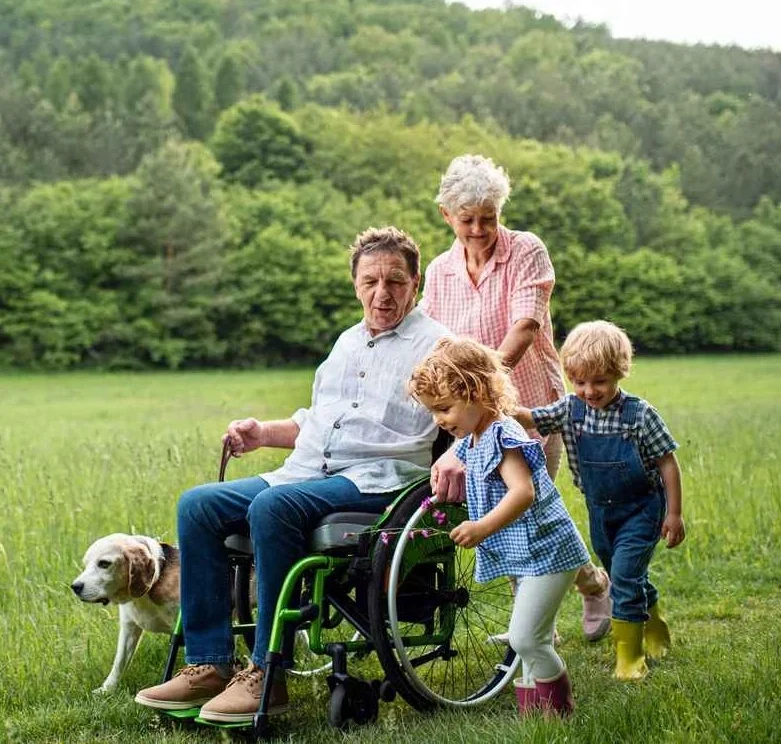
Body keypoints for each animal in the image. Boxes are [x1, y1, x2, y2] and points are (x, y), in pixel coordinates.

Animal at [71, 536, 179, 692]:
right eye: (85, 564)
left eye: (104, 564)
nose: (75, 587)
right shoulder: (129, 628)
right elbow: (119, 662)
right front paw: (107, 690)